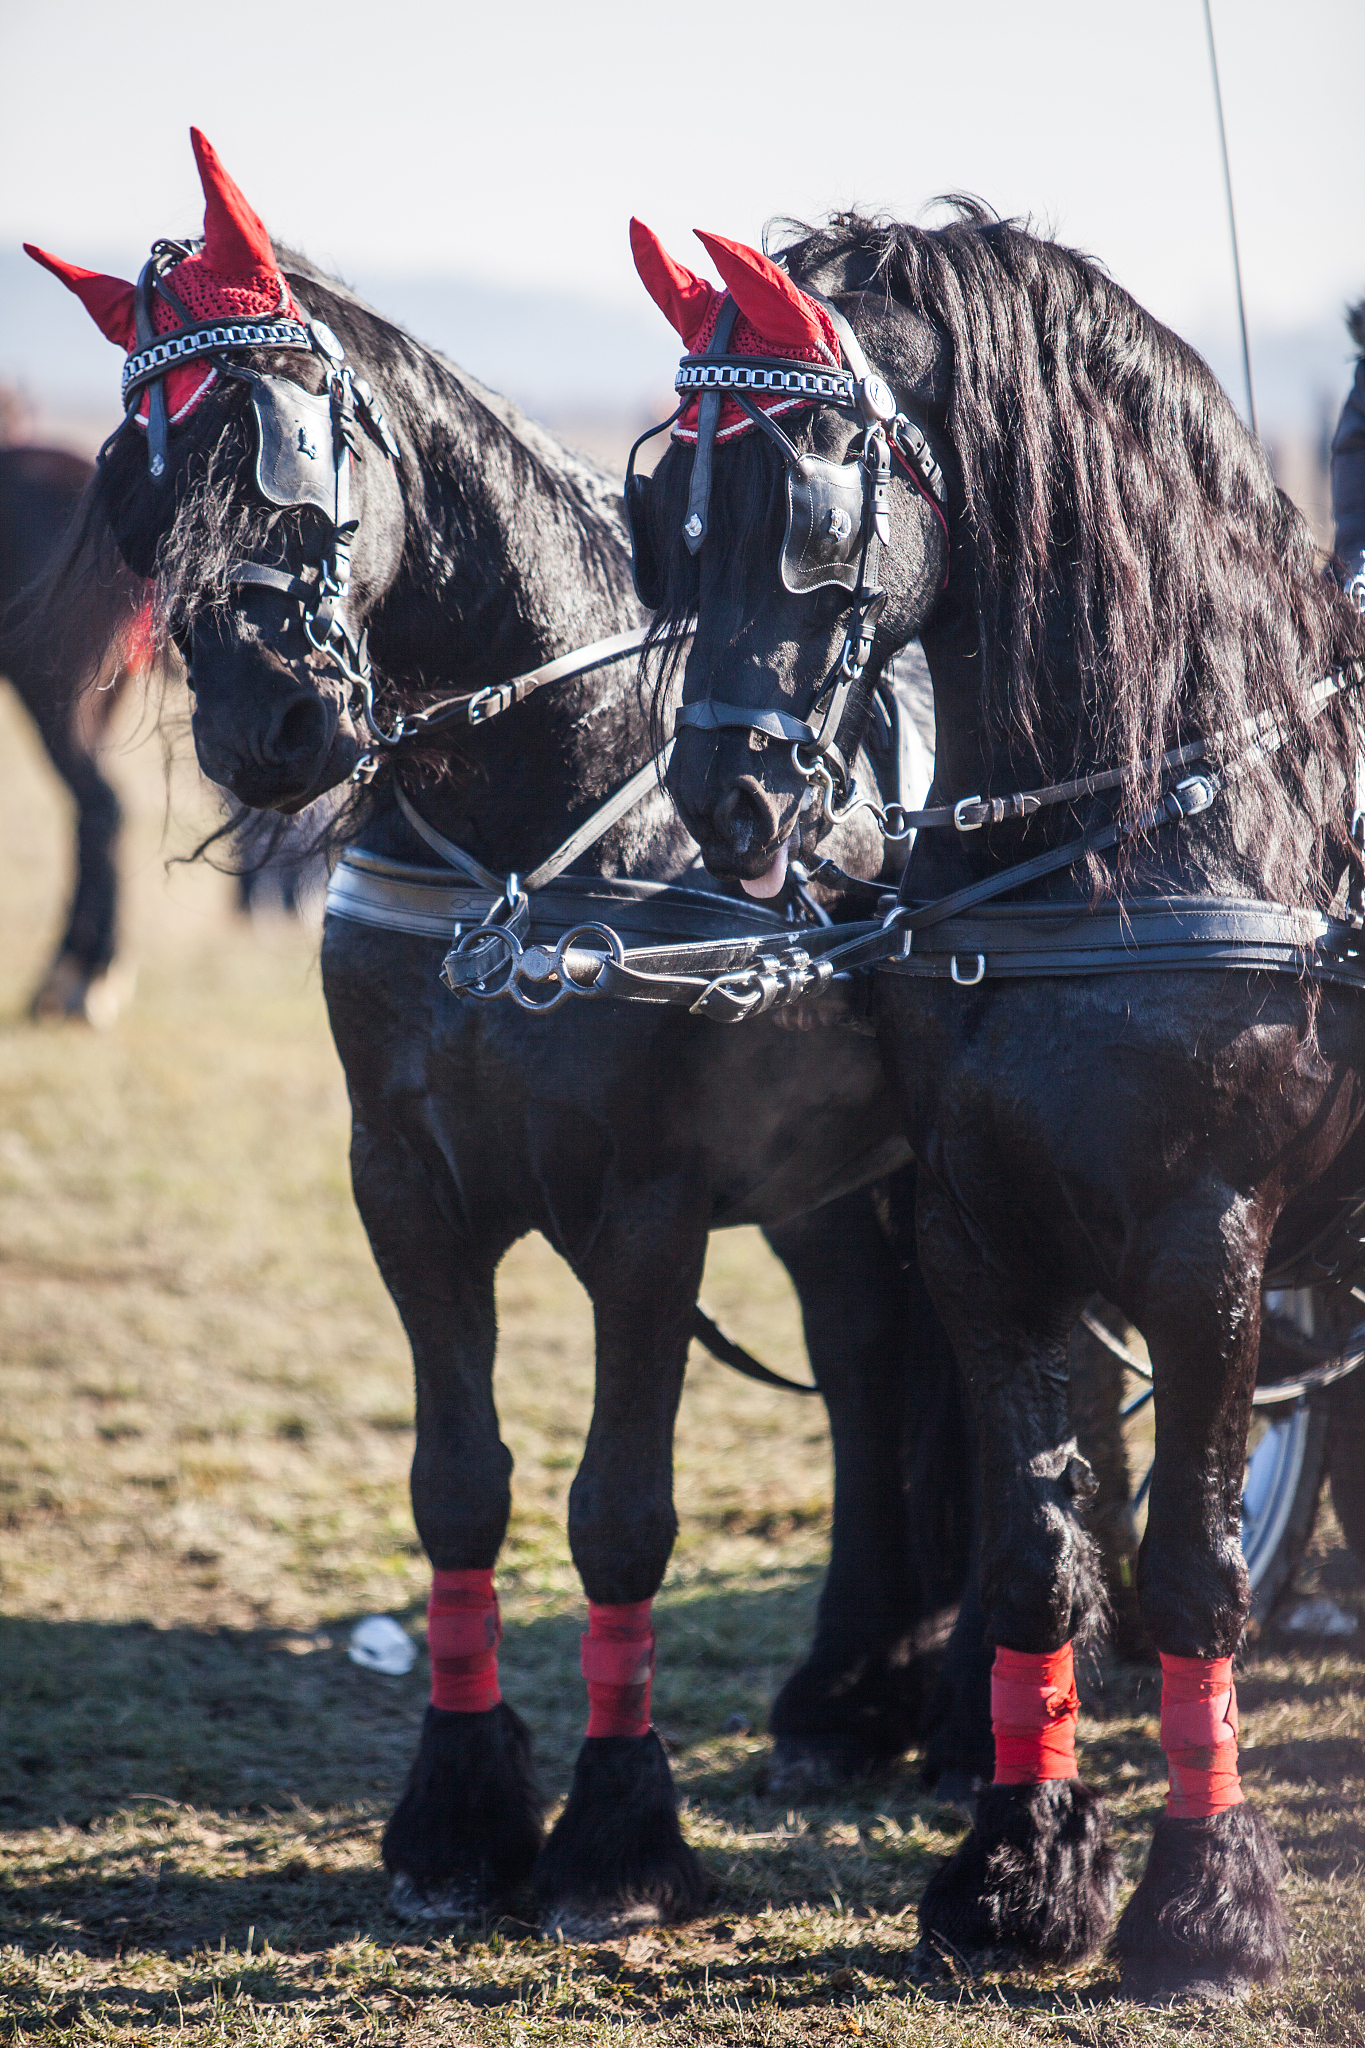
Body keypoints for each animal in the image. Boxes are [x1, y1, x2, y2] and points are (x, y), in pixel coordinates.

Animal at [25, 133, 986, 1936]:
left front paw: (614, 1836)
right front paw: (460, 1812)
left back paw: (966, 1710)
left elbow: (619, 1516)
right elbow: (457, 1488)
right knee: (876, 1358)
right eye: (133, 478)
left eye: (285, 445)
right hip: (835, 1181)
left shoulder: (647, 1209)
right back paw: (852, 1692)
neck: (538, 820)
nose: (269, 725)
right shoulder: (405, 1186)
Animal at [629, 208, 1365, 1999]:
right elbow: (1042, 1561)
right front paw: (1018, 1874)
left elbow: (1189, 1576)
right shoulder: (979, 1239)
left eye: (814, 498)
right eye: (665, 516)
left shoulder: (1208, 1246)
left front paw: (1204, 1908)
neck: (1133, 839)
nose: (724, 797)